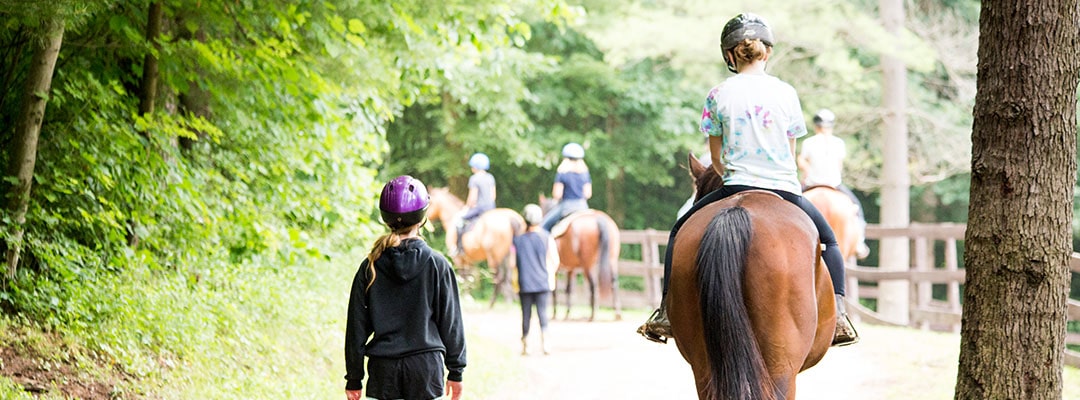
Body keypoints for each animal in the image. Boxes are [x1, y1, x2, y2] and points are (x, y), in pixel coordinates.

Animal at [540, 195, 626, 324]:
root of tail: (598, 218)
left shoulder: (554, 269)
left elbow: (555, 290)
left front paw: (555, 314)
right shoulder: (570, 269)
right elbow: (568, 289)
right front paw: (567, 313)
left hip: (587, 265)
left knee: (593, 285)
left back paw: (592, 315)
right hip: (611, 261)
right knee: (614, 283)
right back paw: (617, 313)